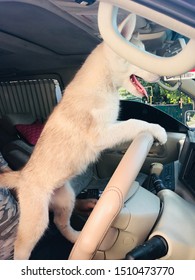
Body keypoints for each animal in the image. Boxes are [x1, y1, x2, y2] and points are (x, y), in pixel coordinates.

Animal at [0, 14, 166, 260]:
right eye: (140, 54)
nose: (162, 74)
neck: (104, 84)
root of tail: (21, 176)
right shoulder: (101, 134)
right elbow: (135, 122)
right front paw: (158, 130)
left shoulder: (111, 126)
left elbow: (130, 123)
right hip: (36, 221)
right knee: (23, 248)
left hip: (66, 197)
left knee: (61, 224)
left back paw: (78, 237)